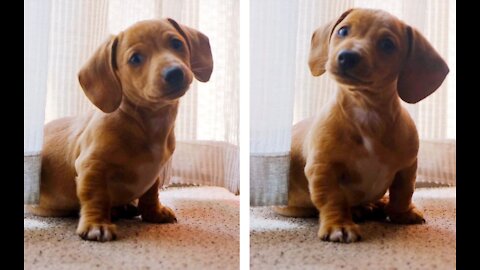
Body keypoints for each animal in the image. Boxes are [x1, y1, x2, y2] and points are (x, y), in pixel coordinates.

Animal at [26, 19, 214, 243]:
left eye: (176, 43)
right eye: (135, 58)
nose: (174, 72)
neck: (147, 123)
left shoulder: (154, 172)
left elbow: (151, 193)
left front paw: (153, 213)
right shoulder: (92, 165)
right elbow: (95, 196)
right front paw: (96, 224)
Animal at [274, 9, 450, 244]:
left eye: (387, 44)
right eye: (343, 31)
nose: (347, 56)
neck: (367, 113)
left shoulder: (407, 167)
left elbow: (403, 192)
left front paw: (401, 213)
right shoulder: (323, 169)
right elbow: (333, 199)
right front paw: (339, 225)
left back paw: (376, 204)